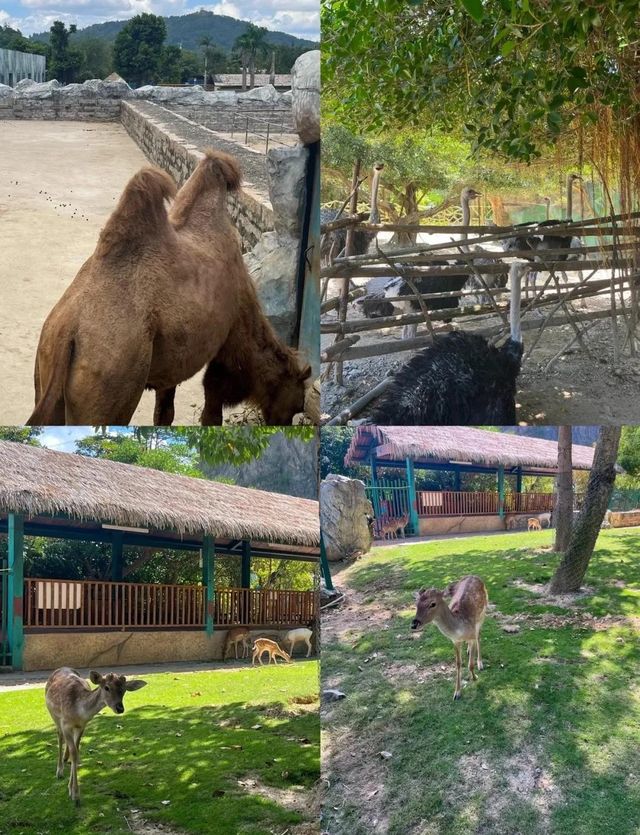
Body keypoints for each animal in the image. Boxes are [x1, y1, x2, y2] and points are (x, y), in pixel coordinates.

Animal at [44, 668, 146, 804]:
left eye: (124, 689)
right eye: (107, 687)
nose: (120, 708)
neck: (78, 712)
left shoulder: (82, 726)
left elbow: (76, 753)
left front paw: (71, 789)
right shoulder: (65, 724)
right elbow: (74, 753)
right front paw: (75, 795)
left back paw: (65, 759)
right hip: (53, 715)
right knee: (59, 736)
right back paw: (59, 770)